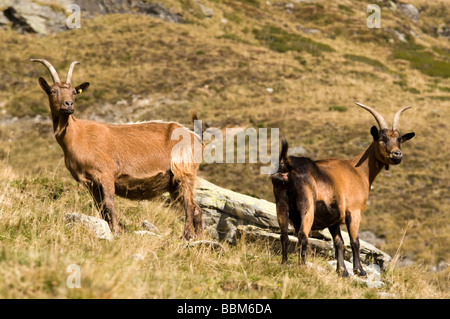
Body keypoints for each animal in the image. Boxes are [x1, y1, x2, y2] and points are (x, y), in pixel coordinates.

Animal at [29, 59, 202, 240]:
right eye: (53, 91)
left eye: (74, 92)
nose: (68, 104)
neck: (77, 135)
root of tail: (194, 136)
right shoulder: (91, 183)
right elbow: (100, 208)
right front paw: (110, 228)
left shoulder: (106, 175)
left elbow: (110, 203)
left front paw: (117, 231)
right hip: (174, 183)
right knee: (197, 209)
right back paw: (199, 237)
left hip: (184, 172)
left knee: (190, 206)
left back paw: (186, 236)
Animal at [270, 104, 414, 278]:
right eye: (382, 138)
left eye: (400, 139)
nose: (397, 154)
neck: (359, 171)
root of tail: (286, 166)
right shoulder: (354, 211)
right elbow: (355, 241)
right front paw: (360, 271)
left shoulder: (334, 218)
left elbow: (339, 242)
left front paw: (342, 272)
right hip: (307, 205)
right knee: (302, 235)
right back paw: (302, 266)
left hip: (281, 203)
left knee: (284, 234)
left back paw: (284, 263)